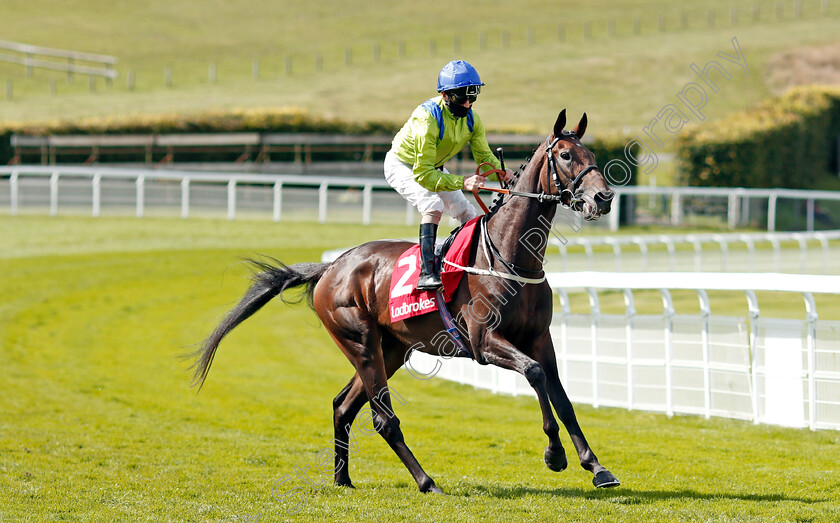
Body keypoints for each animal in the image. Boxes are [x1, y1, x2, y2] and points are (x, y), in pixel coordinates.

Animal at [192, 108, 624, 494]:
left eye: (591, 154)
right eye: (565, 155)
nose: (603, 197)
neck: (510, 255)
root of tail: (331, 268)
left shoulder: (540, 338)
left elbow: (562, 397)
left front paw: (597, 467)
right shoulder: (485, 343)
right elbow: (534, 375)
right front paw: (555, 454)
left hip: (393, 349)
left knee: (343, 406)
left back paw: (342, 479)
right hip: (361, 343)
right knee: (383, 419)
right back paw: (426, 481)